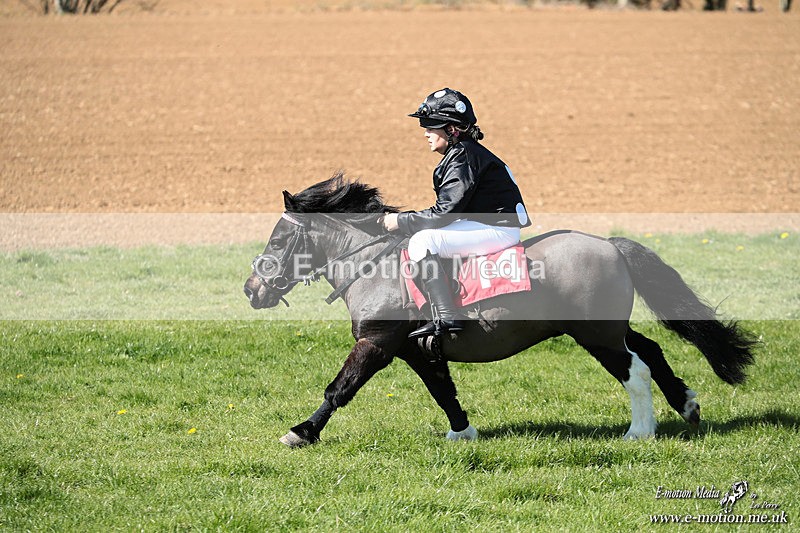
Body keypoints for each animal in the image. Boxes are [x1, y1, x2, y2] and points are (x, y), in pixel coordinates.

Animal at [243, 174, 756, 448]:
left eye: (278, 238)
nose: (251, 289)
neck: (374, 265)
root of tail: (610, 244)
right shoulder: (418, 350)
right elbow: (443, 391)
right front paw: (463, 433)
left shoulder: (376, 344)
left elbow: (338, 389)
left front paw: (302, 431)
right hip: (611, 329)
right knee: (651, 351)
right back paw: (686, 404)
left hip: (596, 335)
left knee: (635, 370)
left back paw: (640, 431)